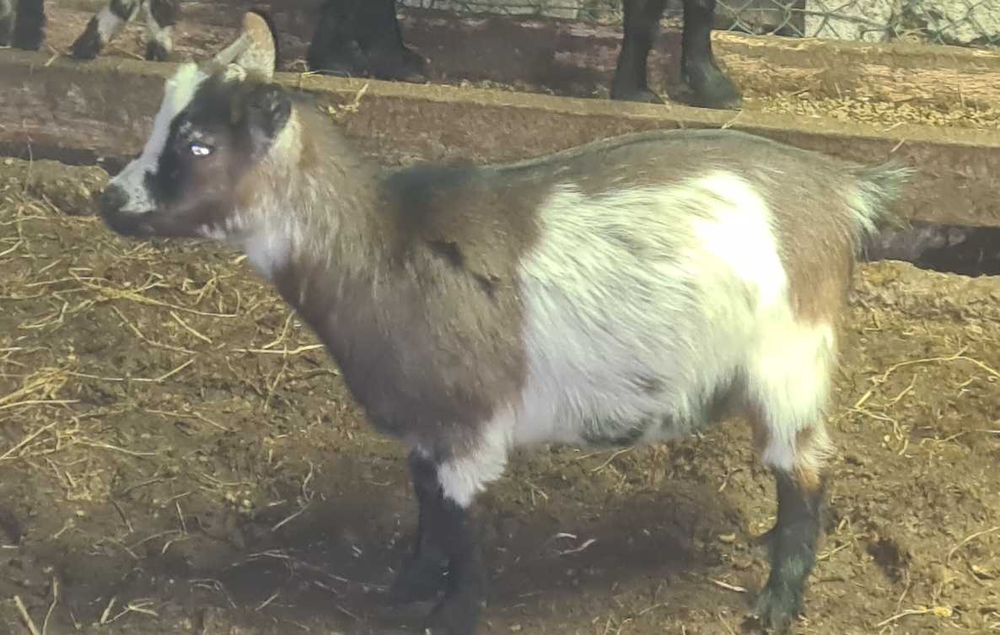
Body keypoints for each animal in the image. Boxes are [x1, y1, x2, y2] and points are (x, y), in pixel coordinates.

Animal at [96, 11, 910, 634]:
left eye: (197, 143)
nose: (110, 200)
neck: (384, 243)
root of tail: (840, 191)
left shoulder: (468, 427)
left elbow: (463, 529)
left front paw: (453, 611)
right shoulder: (425, 427)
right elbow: (425, 506)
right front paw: (407, 584)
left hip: (789, 358)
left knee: (806, 472)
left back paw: (777, 602)